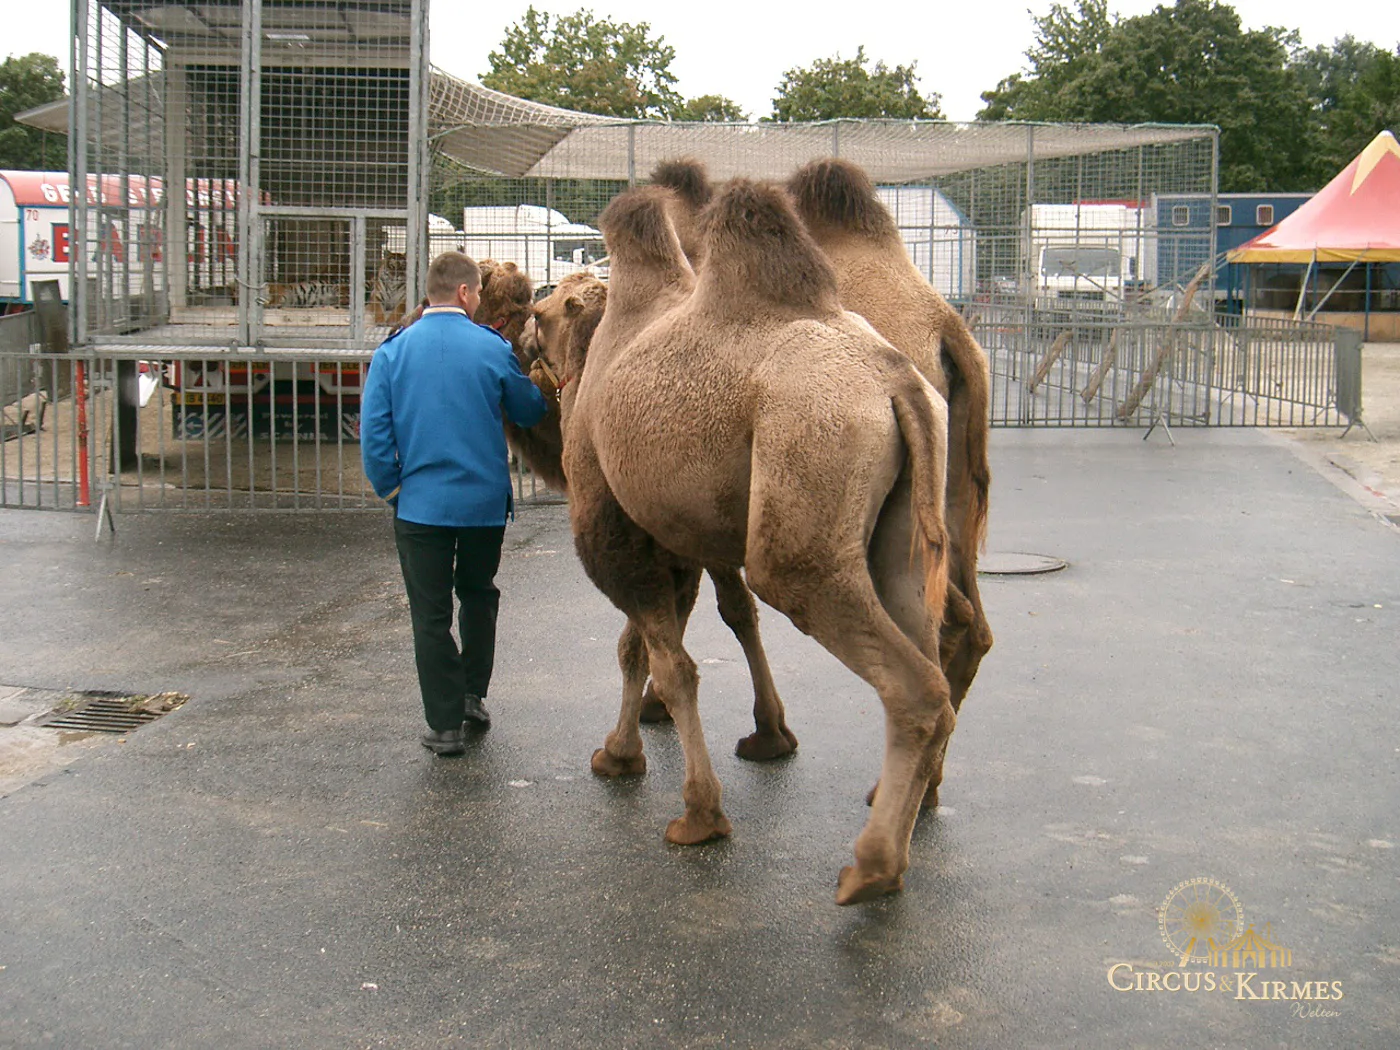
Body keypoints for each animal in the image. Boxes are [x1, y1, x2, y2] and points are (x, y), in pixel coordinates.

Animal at [530, 179, 956, 903]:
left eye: (541, 311)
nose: (528, 341)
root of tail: (895, 383)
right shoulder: (679, 537)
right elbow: (653, 644)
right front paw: (635, 749)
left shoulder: (611, 526)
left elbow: (672, 664)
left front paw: (696, 811)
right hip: (893, 527)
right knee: (927, 647)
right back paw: (899, 821)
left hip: (803, 499)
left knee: (910, 681)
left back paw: (869, 868)